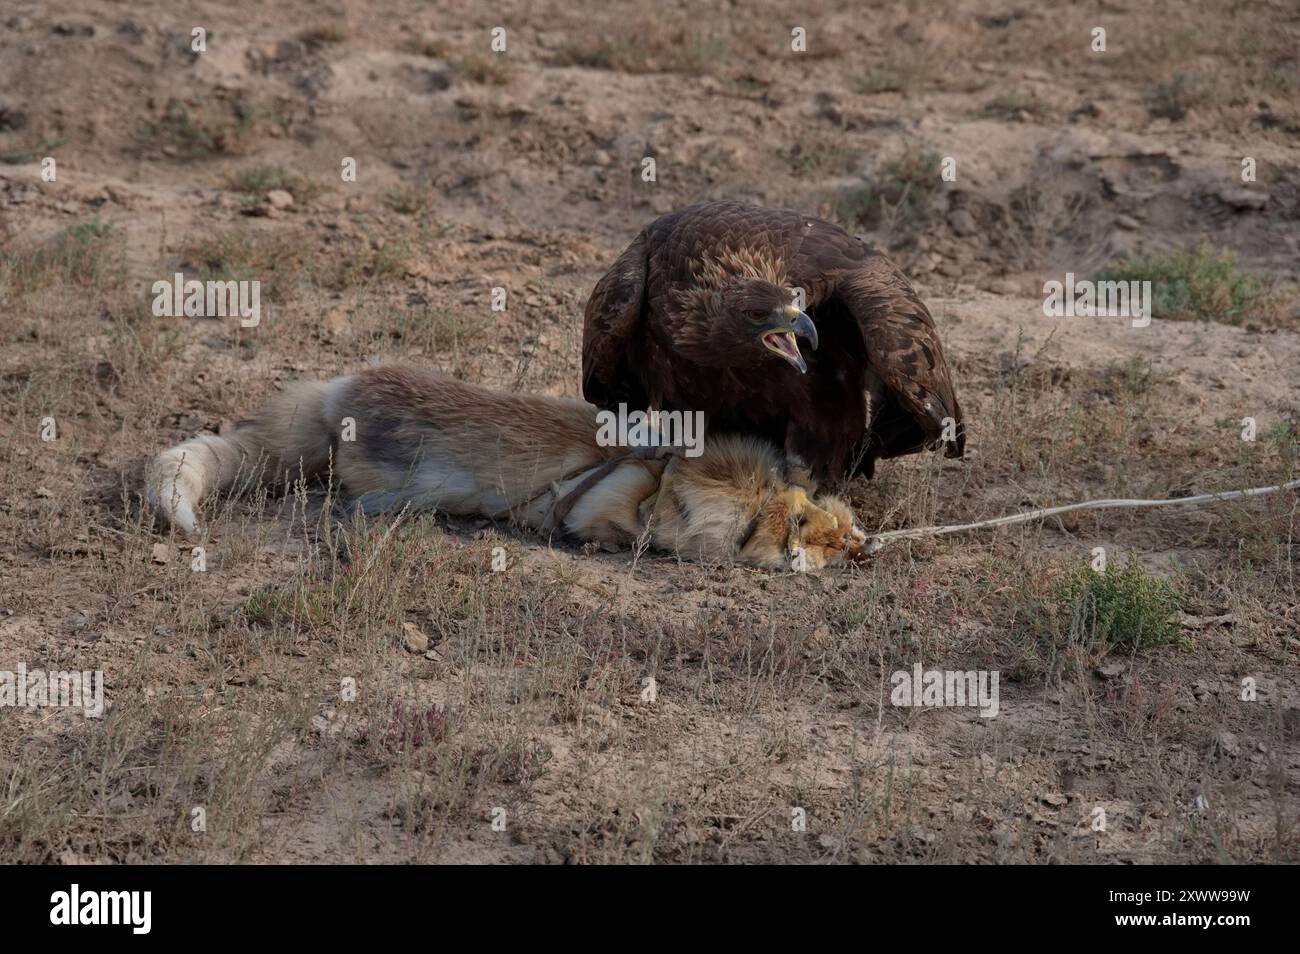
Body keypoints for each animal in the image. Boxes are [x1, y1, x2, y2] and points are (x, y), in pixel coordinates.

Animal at [146, 366, 868, 571]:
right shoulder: (605, 504)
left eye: (840, 523)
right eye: (809, 532)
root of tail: (338, 390)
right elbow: (607, 529)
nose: (864, 547)